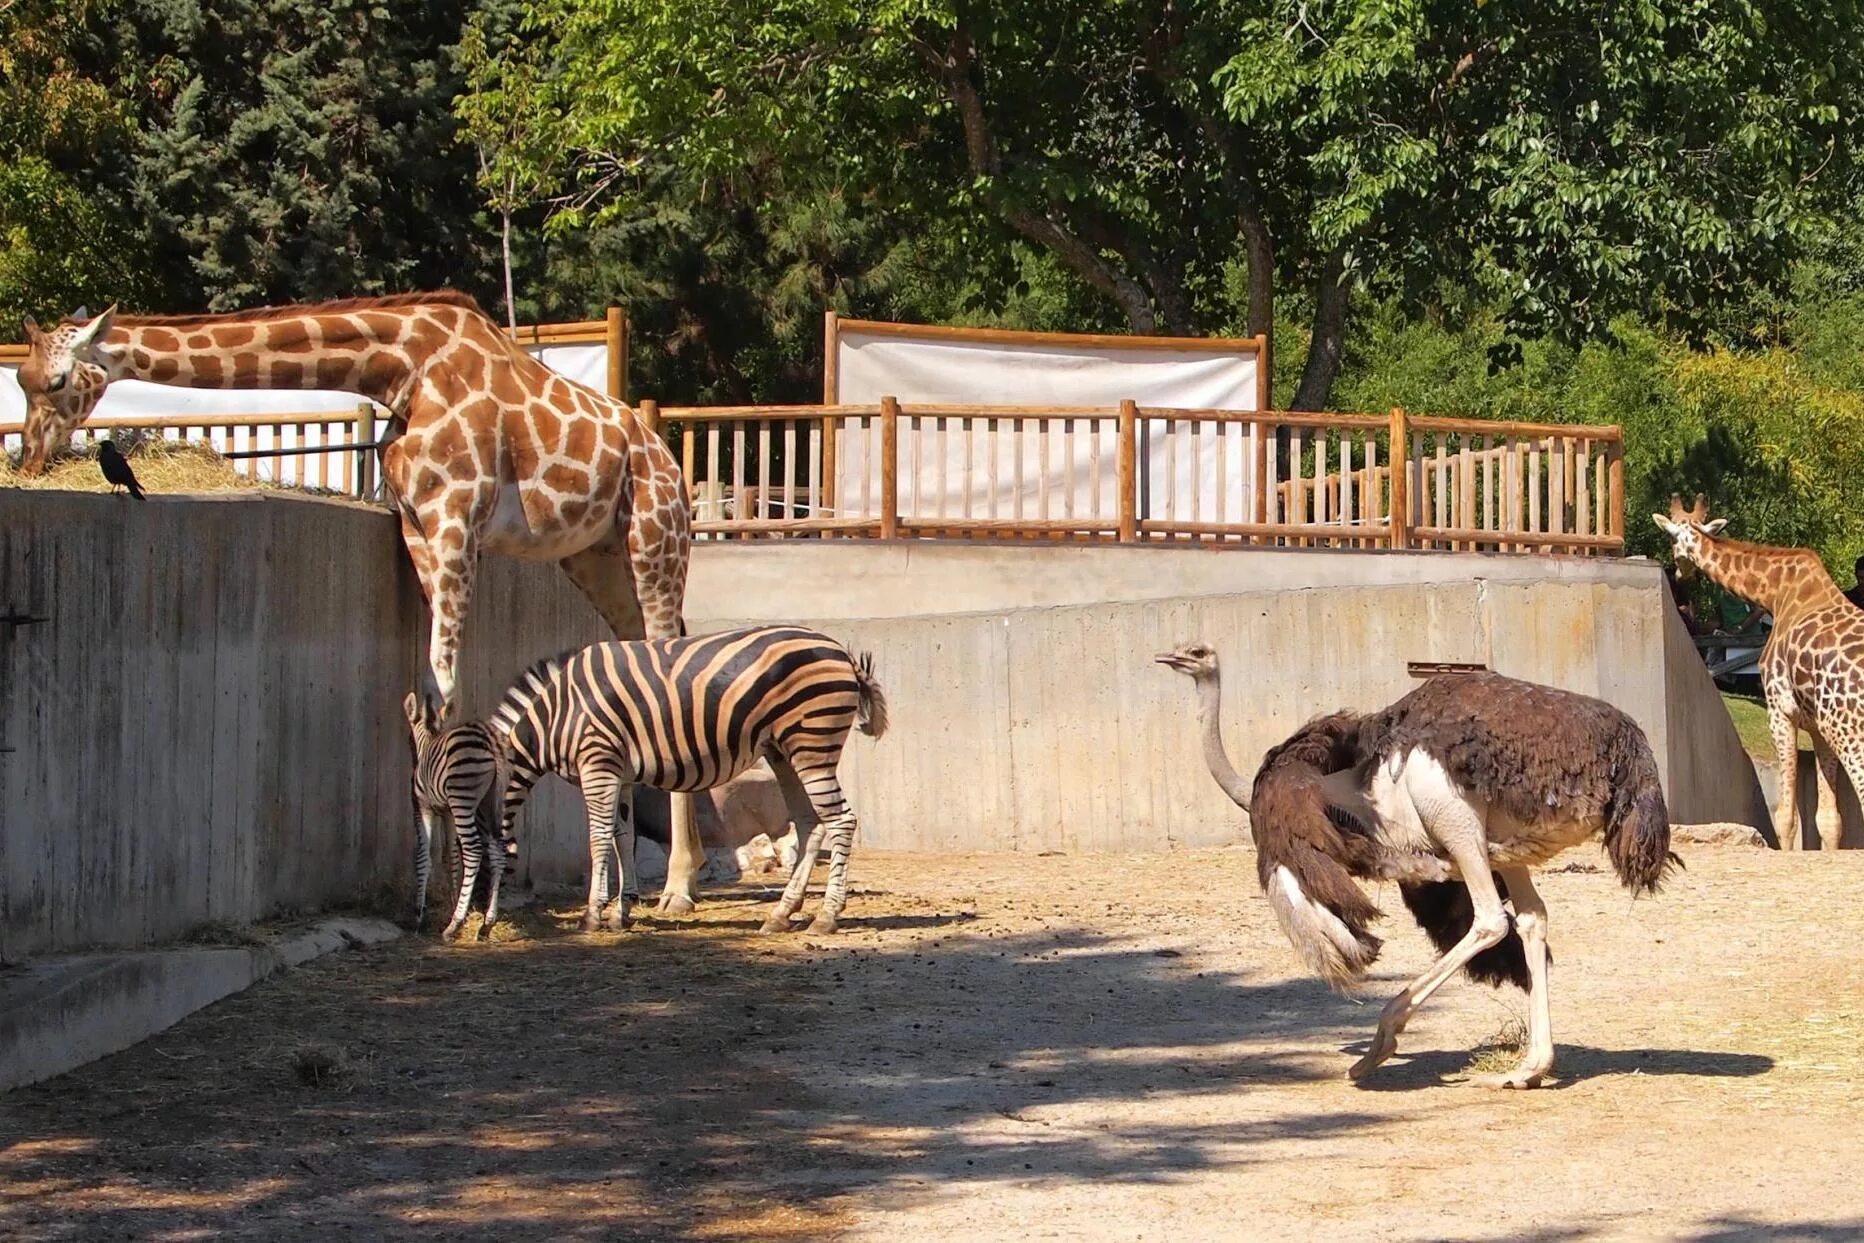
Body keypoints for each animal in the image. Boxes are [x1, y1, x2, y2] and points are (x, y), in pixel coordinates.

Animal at [12, 292, 704, 913]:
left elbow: (446, 685)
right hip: (596, 558)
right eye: (20, 378)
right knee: (639, 664)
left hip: (654, 540)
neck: (399, 371)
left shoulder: (456, 522)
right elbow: (433, 693)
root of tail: (668, 460)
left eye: (56, 379)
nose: (31, 459)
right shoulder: (417, 527)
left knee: (669, 659)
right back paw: (627, 890)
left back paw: (677, 888)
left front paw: (462, 883)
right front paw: (447, 874)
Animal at [402, 689, 510, 942]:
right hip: (489, 802)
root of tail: (490, 745)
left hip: (463, 798)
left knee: (473, 850)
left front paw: (418, 916)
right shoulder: (448, 812)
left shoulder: (423, 808)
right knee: (498, 850)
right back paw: (486, 924)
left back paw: (454, 925)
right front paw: (452, 902)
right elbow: (450, 855)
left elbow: (423, 857)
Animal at [495, 626, 887, 939]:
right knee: (810, 826)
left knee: (842, 821)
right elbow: (622, 837)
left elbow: (600, 839)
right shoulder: (620, 776)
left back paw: (827, 916)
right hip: (785, 752)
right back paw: (781, 914)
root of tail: (842, 653)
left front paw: (593, 915)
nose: (487, 923)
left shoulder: (598, 765)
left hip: (812, 745)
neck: (555, 717)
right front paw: (623, 911)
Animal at [1647, 495, 1864, 857]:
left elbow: (1786, 817)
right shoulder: (1817, 726)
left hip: (1848, 727)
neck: (1776, 594)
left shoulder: (1781, 711)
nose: (1678, 570)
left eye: (1673, 538)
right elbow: (1829, 821)